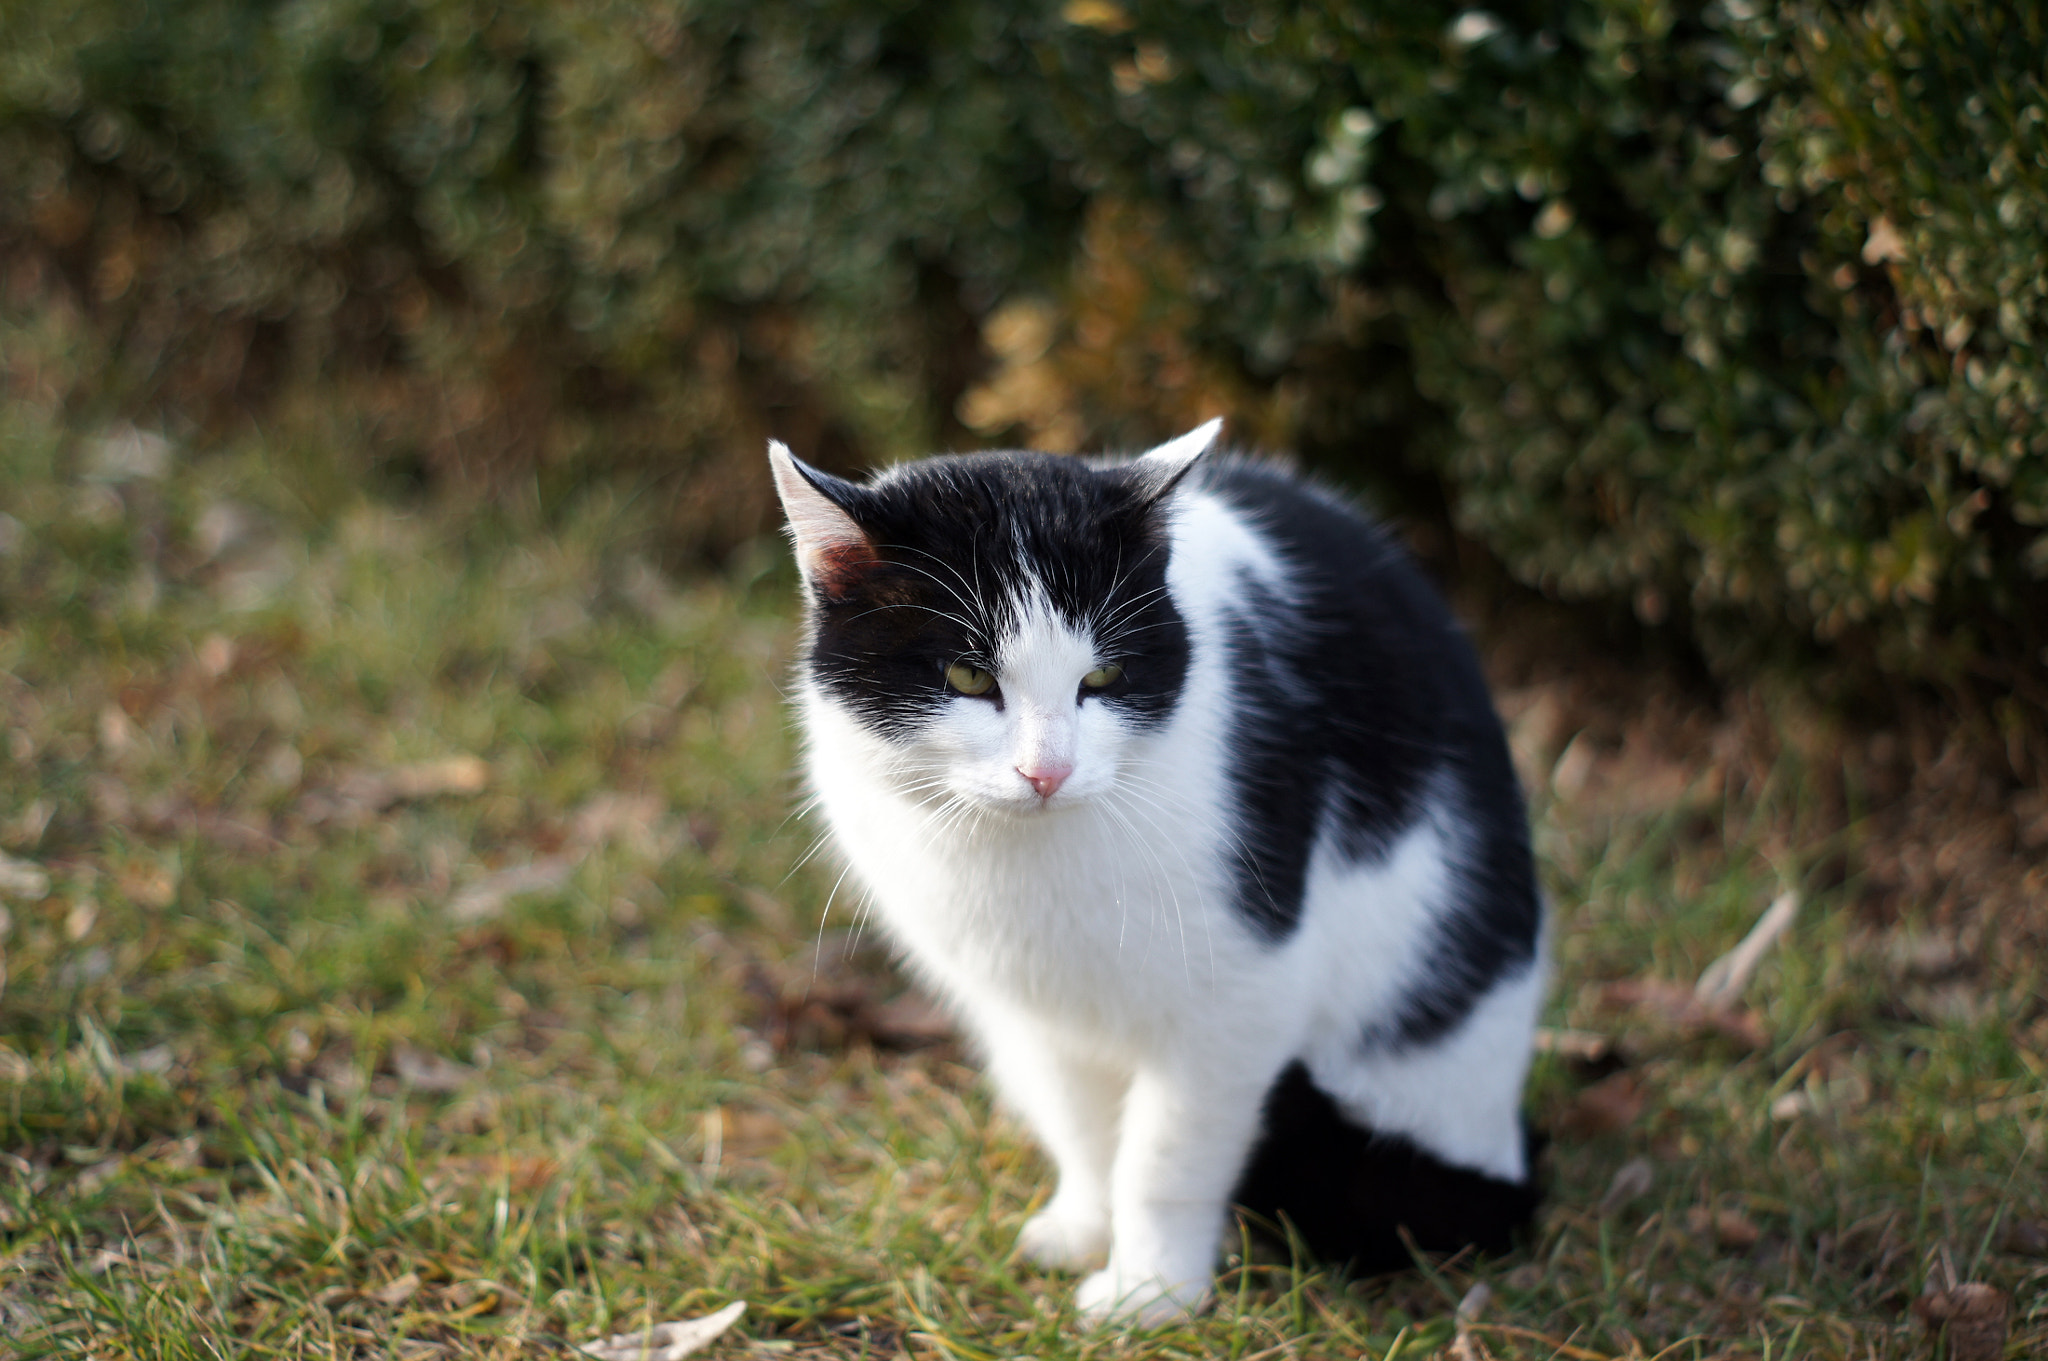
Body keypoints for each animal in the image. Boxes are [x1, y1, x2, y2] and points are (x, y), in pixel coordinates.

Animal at [770, 421, 1540, 1318]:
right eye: (967, 675)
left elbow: (1166, 1155)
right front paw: (1084, 1229)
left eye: (1102, 677)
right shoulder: (1035, 1010)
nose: (1047, 771)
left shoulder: (1243, 992)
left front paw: (1149, 1293)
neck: (1028, 861)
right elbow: (1082, 1125)